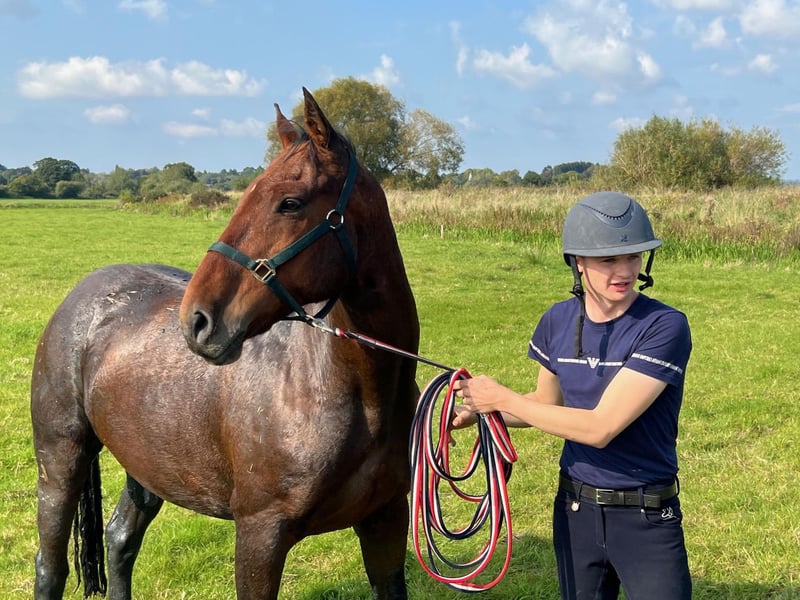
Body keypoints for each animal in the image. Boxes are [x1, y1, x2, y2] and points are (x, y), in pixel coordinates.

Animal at [31, 88, 420, 599]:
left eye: (290, 202)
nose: (197, 320)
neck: (349, 392)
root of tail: (81, 296)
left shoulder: (385, 523)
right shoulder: (259, 535)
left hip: (146, 465)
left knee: (119, 540)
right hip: (60, 462)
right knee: (50, 567)